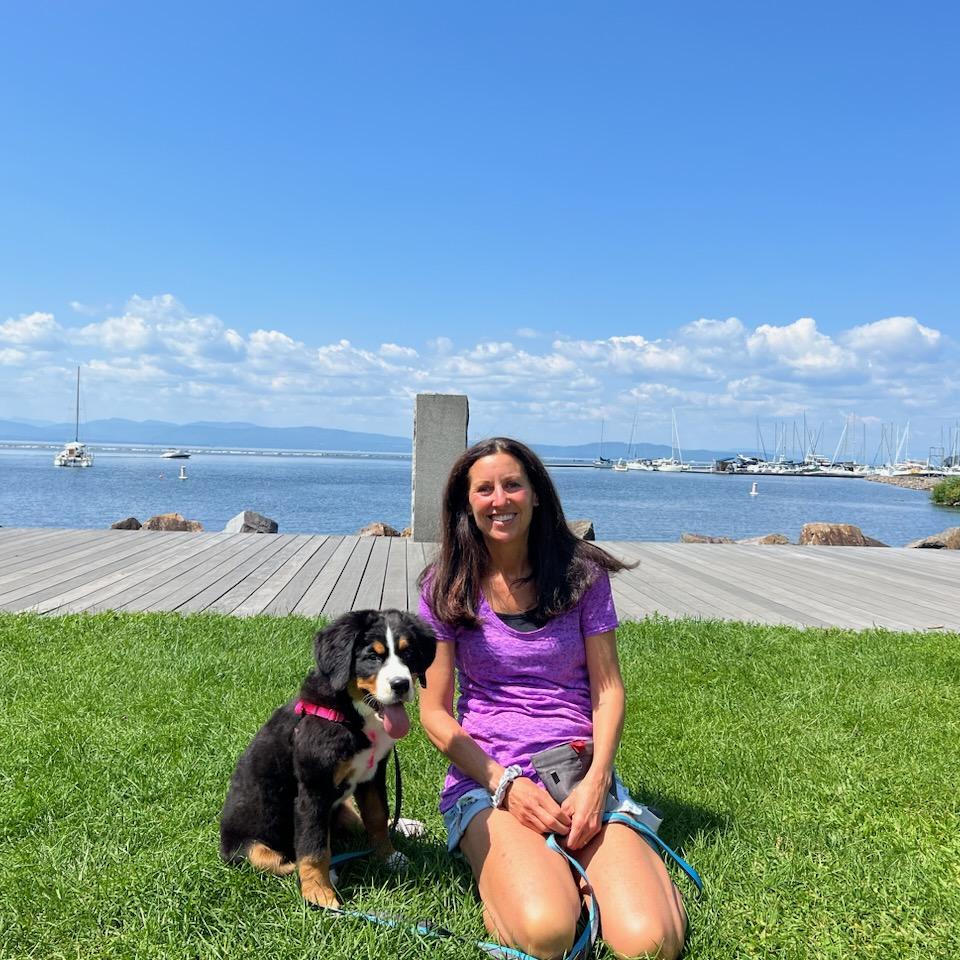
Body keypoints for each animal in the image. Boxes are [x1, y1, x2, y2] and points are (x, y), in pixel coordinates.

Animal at [219, 609, 436, 909]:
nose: (401, 685)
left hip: (341, 808)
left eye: (409, 653)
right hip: (252, 848)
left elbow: (377, 817)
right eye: (372, 657)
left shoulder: (372, 776)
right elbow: (314, 849)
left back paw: (407, 826)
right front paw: (319, 894)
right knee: (282, 860)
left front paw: (388, 855)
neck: (352, 717)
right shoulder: (314, 791)